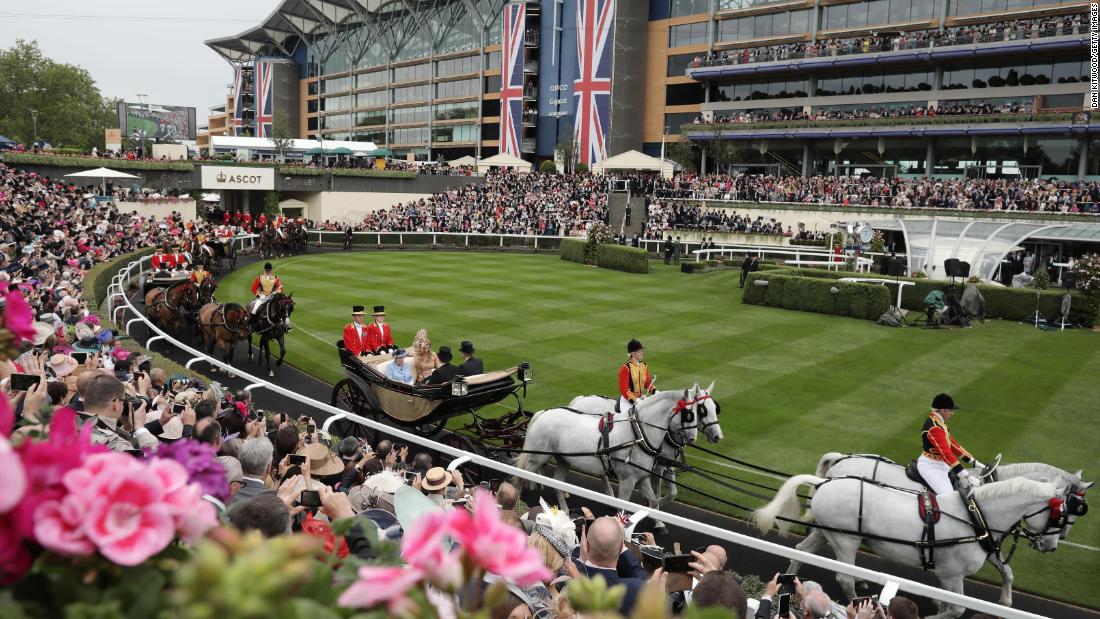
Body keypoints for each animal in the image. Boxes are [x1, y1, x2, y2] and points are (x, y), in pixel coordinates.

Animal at [517, 387, 708, 514]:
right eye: (689, 415)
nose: (692, 438)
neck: (638, 434)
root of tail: (543, 413)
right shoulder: (627, 480)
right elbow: (623, 507)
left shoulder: (641, 478)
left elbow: (653, 502)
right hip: (536, 458)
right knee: (521, 477)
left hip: (563, 460)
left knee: (557, 483)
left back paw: (564, 510)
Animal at [567, 382, 721, 507]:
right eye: (702, 410)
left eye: (715, 408)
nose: (718, 436)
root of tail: (580, 399)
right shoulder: (658, 465)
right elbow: (658, 492)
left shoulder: (667, 463)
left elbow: (672, 493)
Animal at [756, 477, 1073, 615]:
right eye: (1060, 516)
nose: (1050, 546)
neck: (975, 517)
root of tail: (825, 481)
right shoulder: (951, 574)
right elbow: (957, 609)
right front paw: (936, 613)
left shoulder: (955, 569)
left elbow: (1000, 575)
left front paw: (1005, 601)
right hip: (846, 540)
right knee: (845, 577)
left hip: (826, 533)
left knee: (801, 550)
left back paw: (791, 582)